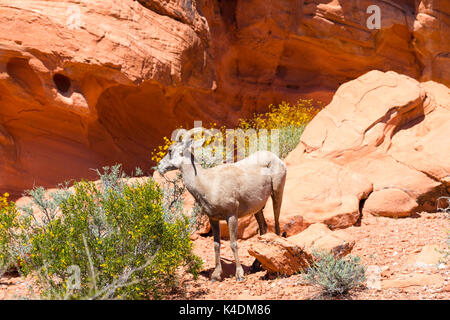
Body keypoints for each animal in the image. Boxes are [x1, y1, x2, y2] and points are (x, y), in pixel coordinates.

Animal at [156, 126, 286, 282]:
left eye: (170, 150)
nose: (159, 166)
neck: (208, 183)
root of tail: (275, 158)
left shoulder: (231, 216)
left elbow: (233, 244)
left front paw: (239, 275)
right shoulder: (213, 219)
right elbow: (216, 245)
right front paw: (215, 275)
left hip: (277, 193)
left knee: (277, 227)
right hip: (258, 209)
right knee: (264, 228)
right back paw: (255, 266)